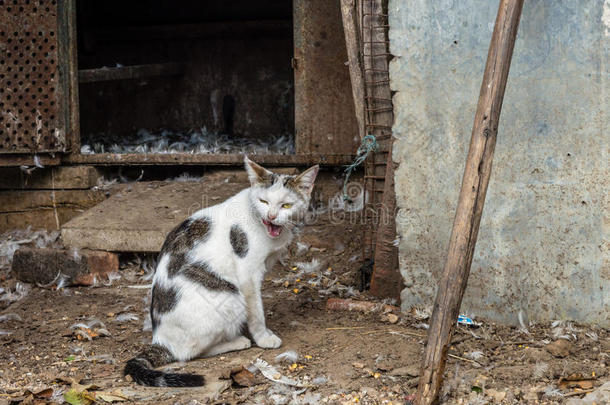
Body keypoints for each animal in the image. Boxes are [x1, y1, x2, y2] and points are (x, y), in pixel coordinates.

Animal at [123, 155, 318, 386]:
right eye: (263, 201)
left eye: (286, 205)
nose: (271, 216)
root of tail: (160, 339)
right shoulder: (248, 273)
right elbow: (256, 311)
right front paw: (263, 337)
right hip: (229, 297)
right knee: (189, 353)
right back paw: (236, 341)